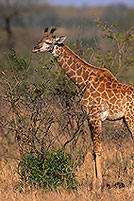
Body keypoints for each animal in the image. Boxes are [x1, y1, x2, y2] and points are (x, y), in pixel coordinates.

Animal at [32, 27, 134, 190]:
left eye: (48, 42)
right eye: (41, 39)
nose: (35, 48)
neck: (83, 82)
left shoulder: (95, 117)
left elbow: (97, 149)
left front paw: (98, 185)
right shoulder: (89, 118)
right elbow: (92, 150)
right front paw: (94, 183)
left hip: (130, 118)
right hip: (126, 119)